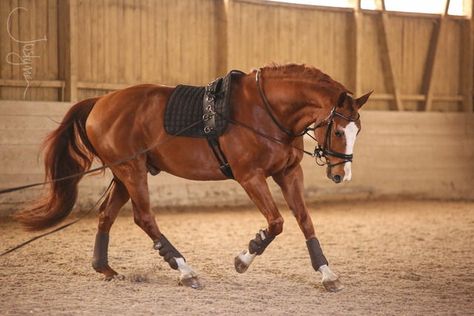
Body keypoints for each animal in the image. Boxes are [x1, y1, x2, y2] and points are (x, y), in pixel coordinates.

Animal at [13, 63, 370, 292]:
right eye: (339, 130)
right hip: (132, 171)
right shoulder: (250, 177)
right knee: (144, 218)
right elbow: (276, 222)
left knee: (106, 215)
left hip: (123, 173)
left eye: (357, 130)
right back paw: (185, 271)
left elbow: (305, 221)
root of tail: (100, 101)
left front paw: (327, 274)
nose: (341, 174)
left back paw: (105, 268)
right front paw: (244, 258)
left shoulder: (288, 173)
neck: (267, 111)